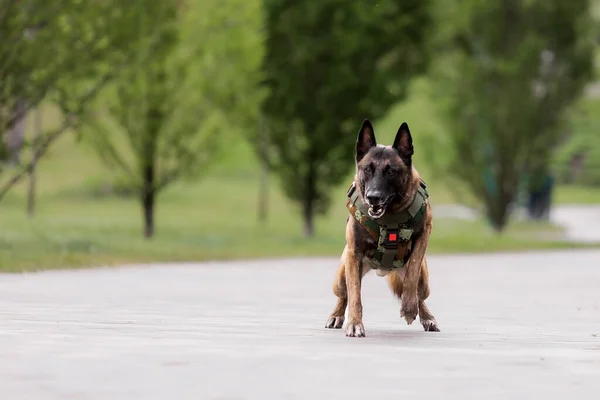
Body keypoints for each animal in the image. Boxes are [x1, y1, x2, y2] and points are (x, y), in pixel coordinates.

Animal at [324, 119, 440, 338]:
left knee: (420, 294)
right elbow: (355, 295)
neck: (390, 214)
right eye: (367, 169)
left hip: (425, 283)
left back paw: (426, 316)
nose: (373, 197)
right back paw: (336, 315)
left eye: (391, 171)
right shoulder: (354, 254)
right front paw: (355, 323)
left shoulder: (424, 234)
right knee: (344, 294)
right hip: (341, 277)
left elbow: (412, 273)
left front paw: (409, 308)